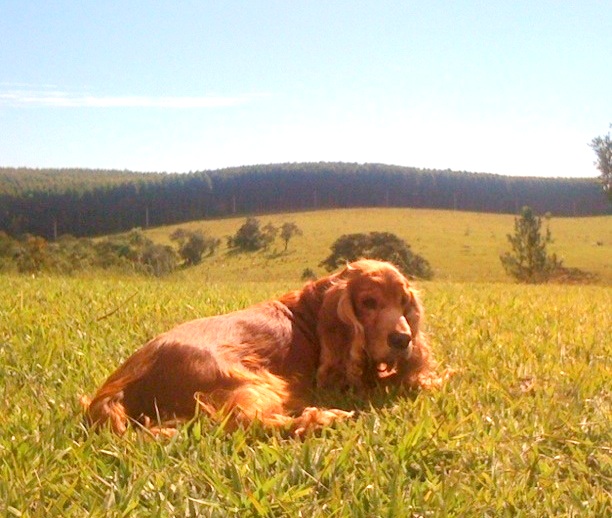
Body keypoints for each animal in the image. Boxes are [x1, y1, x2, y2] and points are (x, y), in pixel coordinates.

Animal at [81, 260, 450, 438]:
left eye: (403, 302)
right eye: (369, 302)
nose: (402, 340)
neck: (312, 310)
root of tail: (120, 386)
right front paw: (433, 380)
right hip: (252, 381)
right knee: (241, 423)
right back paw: (323, 418)